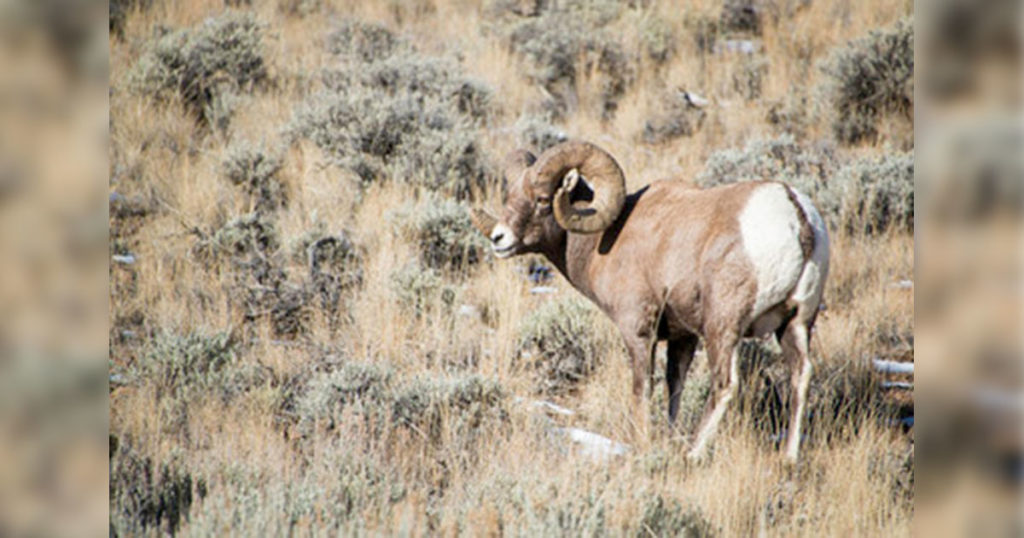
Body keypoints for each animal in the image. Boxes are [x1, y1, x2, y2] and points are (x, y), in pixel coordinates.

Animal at [470, 140, 830, 462]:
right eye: (510, 197)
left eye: (543, 199)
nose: (499, 239)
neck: (606, 239)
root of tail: (796, 216)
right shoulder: (683, 337)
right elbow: (675, 387)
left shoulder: (639, 332)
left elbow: (642, 389)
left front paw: (642, 445)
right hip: (796, 324)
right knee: (800, 377)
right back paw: (789, 458)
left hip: (723, 328)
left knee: (725, 385)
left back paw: (692, 454)